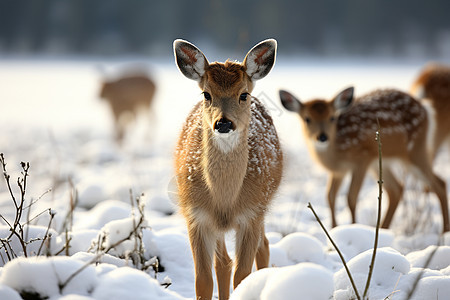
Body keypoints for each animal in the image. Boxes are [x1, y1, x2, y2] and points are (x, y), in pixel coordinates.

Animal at [174, 38, 284, 298]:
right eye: (206, 94)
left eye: (243, 94)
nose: (223, 123)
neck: (224, 201)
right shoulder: (195, 215)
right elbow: (203, 280)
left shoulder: (251, 213)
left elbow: (242, 277)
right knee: (223, 263)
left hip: (263, 206)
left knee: (263, 248)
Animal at [280, 86, 448, 232]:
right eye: (307, 119)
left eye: (332, 117)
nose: (322, 137)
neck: (337, 152)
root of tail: (425, 108)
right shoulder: (339, 170)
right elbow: (330, 196)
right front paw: (334, 229)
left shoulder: (362, 159)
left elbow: (351, 197)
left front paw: (353, 226)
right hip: (382, 162)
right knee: (397, 189)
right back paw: (382, 230)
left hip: (414, 150)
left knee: (439, 184)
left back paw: (444, 231)